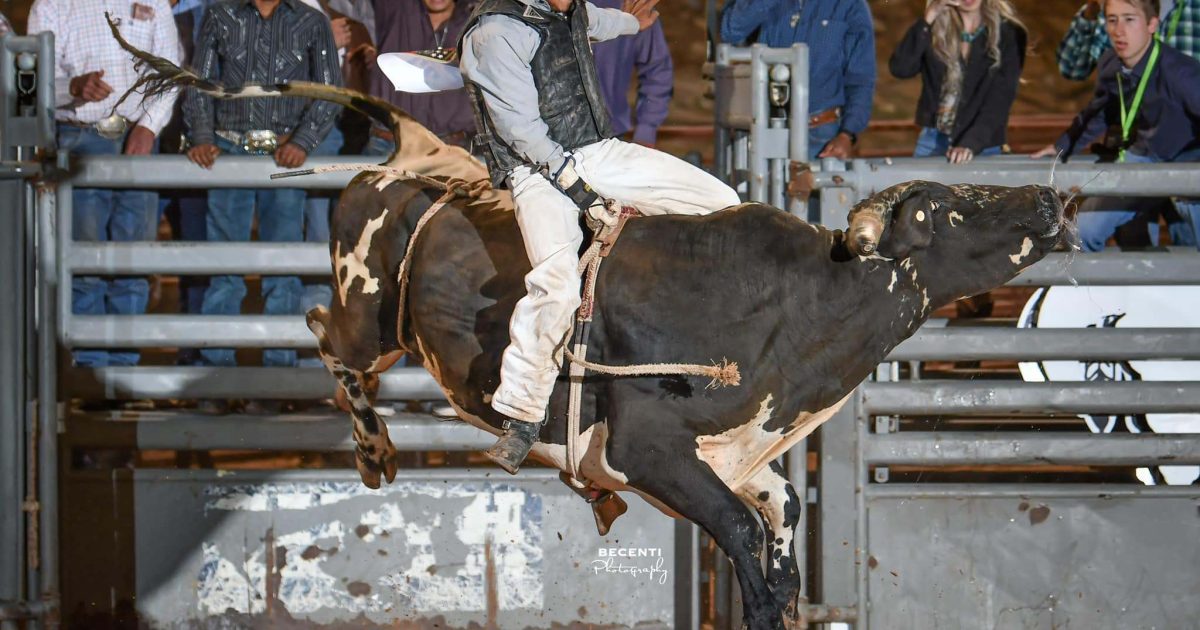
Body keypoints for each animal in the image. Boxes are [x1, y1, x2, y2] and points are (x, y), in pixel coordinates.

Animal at [114, 25, 1070, 628]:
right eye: (945, 211)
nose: (1050, 198)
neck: (793, 308)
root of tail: (413, 149)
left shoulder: (746, 463)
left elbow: (781, 541)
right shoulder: (653, 450)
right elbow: (748, 553)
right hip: (367, 311)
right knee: (324, 333)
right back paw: (377, 452)